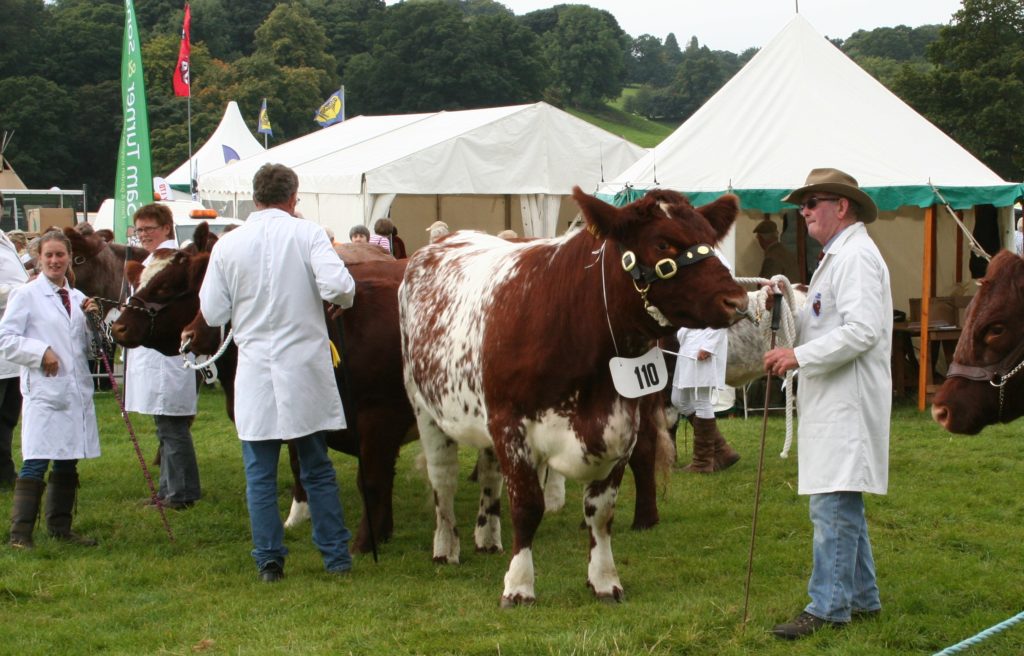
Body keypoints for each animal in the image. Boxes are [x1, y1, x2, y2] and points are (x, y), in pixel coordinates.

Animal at [397, 185, 745, 605]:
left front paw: (604, 579)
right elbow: (527, 505)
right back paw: (447, 546)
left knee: (489, 473)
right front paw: (519, 585)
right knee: (443, 479)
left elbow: (601, 510)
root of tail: (442, 241)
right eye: (662, 242)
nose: (738, 301)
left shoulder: (621, 424)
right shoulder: (511, 424)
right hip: (425, 406)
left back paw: (488, 537)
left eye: (710, 238)